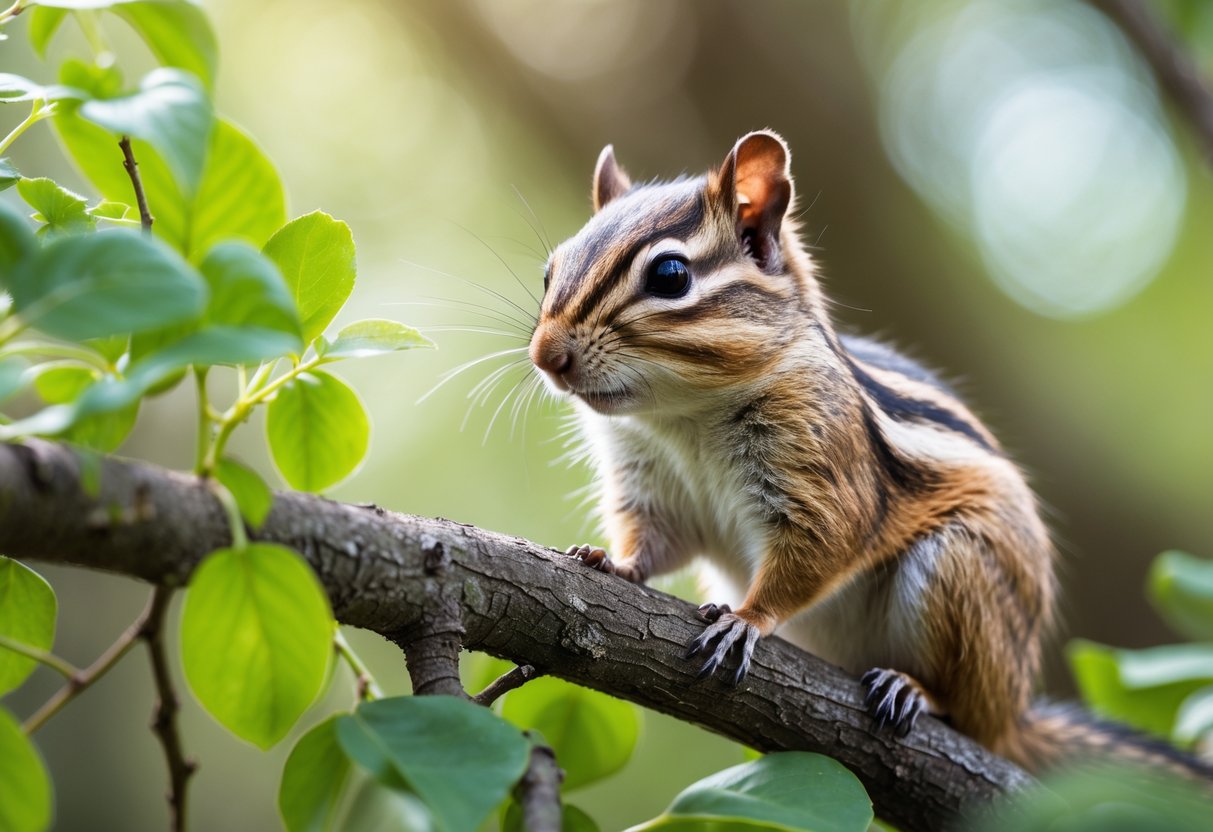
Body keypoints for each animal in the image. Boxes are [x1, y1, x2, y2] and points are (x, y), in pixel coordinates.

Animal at [527, 130, 1213, 778]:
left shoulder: (824, 472)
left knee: (969, 716)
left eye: (670, 276)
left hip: (959, 571)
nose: (545, 355)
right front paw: (612, 562)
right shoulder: (648, 485)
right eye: (550, 270)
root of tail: (1015, 714)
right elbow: (655, 542)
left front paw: (746, 618)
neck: (681, 416)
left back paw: (917, 691)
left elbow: (819, 549)